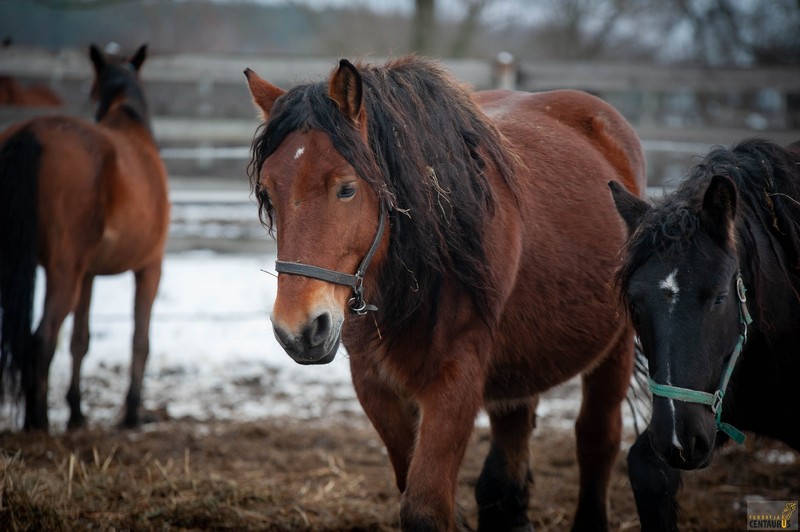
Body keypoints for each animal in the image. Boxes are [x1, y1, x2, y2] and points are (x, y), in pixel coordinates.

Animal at [0, 43, 169, 430]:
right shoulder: (150, 267)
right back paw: (37, 422)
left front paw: (76, 413)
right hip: (63, 272)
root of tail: (29, 133)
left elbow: (81, 340)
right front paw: (132, 414)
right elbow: (140, 340)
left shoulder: (88, 274)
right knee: (42, 338)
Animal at [247, 56, 648, 528]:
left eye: (346, 188)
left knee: (597, 438)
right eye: (268, 193)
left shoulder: (457, 379)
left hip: (615, 348)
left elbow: (424, 507)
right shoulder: (374, 383)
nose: (299, 331)